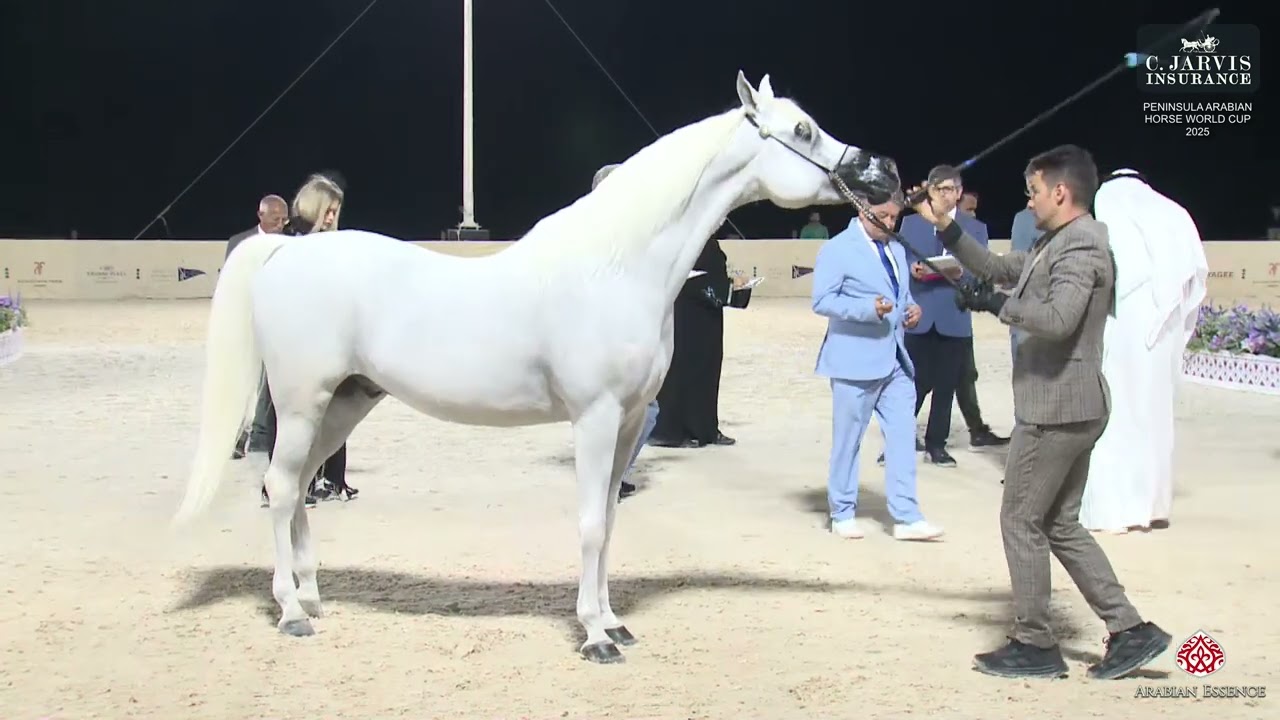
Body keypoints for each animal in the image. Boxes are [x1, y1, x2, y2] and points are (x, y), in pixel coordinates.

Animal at [173, 70, 900, 664]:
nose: (886, 171)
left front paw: (614, 621)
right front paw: (596, 638)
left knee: (295, 488)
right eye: (802, 129)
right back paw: (290, 612)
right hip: (302, 404)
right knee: (280, 486)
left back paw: (311, 595)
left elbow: (609, 520)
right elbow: (588, 524)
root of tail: (283, 251)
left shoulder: (629, 422)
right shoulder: (595, 419)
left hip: (347, 403)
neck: (616, 266)